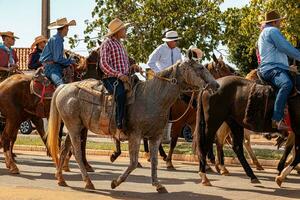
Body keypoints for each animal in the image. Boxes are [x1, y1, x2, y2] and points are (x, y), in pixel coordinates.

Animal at [45, 54, 219, 192]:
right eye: (200, 68)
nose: (216, 85)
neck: (153, 97)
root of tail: (63, 87)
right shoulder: (135, 135)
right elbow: (134, 162)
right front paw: (115, 182)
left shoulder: (155, 136)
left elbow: (154, 160)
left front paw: (158, 185)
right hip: (74, 127)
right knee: (77, 152)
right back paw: (88, 182)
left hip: (77, 127)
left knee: (64, 148)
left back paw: (60, 178)